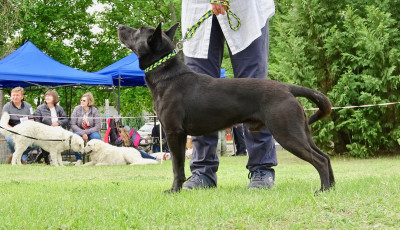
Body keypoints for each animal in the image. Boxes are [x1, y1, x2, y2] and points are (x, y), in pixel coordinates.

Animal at [118, 22, 334, 192]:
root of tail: (287, 87)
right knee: (325, 156)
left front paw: (174, 190)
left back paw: (322, 190)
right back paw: (331, 188)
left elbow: (177, 167)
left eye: (139, 31)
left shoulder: (174, 133)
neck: (167, 75)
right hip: (301, 132)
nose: (119, 27)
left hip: (287, 133)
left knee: (320, 160)